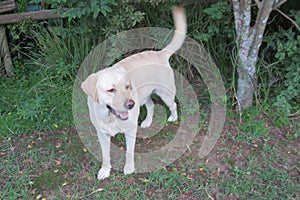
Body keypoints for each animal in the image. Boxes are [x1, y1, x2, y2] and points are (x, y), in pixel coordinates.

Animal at [81, 6, 186, 180]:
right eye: (111, 90)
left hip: (164, 93)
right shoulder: (102, 134)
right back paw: (147, 122)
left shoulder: (130, 131)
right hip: (144, 97)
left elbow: (129, 152)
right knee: (151, 105)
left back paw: (173, 118)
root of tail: (160, 53)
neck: (110, 118)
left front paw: (129, 168)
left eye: (127, 86)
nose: (130, 104)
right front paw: (105, 170)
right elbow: (105, 155)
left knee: (174, 105)